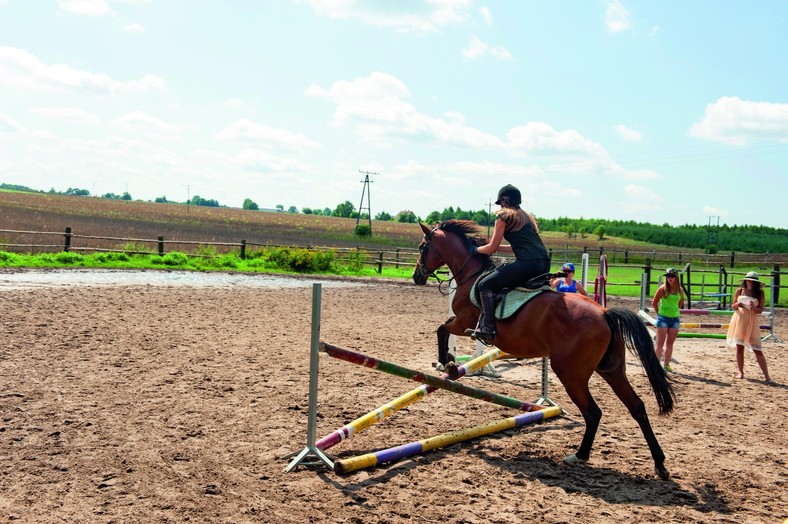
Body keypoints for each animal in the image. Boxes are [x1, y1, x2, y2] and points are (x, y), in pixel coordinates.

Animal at [412, 219, 676, 482]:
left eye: (423, 247)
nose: (417, 277)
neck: (471, 274)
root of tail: (604, 313)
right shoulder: (463, 323)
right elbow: (443, 328)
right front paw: (449, 362)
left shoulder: (464, 322)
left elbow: (442, 328)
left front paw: (448, 363)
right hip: (612, 369)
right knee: (637, 407)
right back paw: (660, 464)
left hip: (572, 375)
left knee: (593, 412)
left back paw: (579, 455)